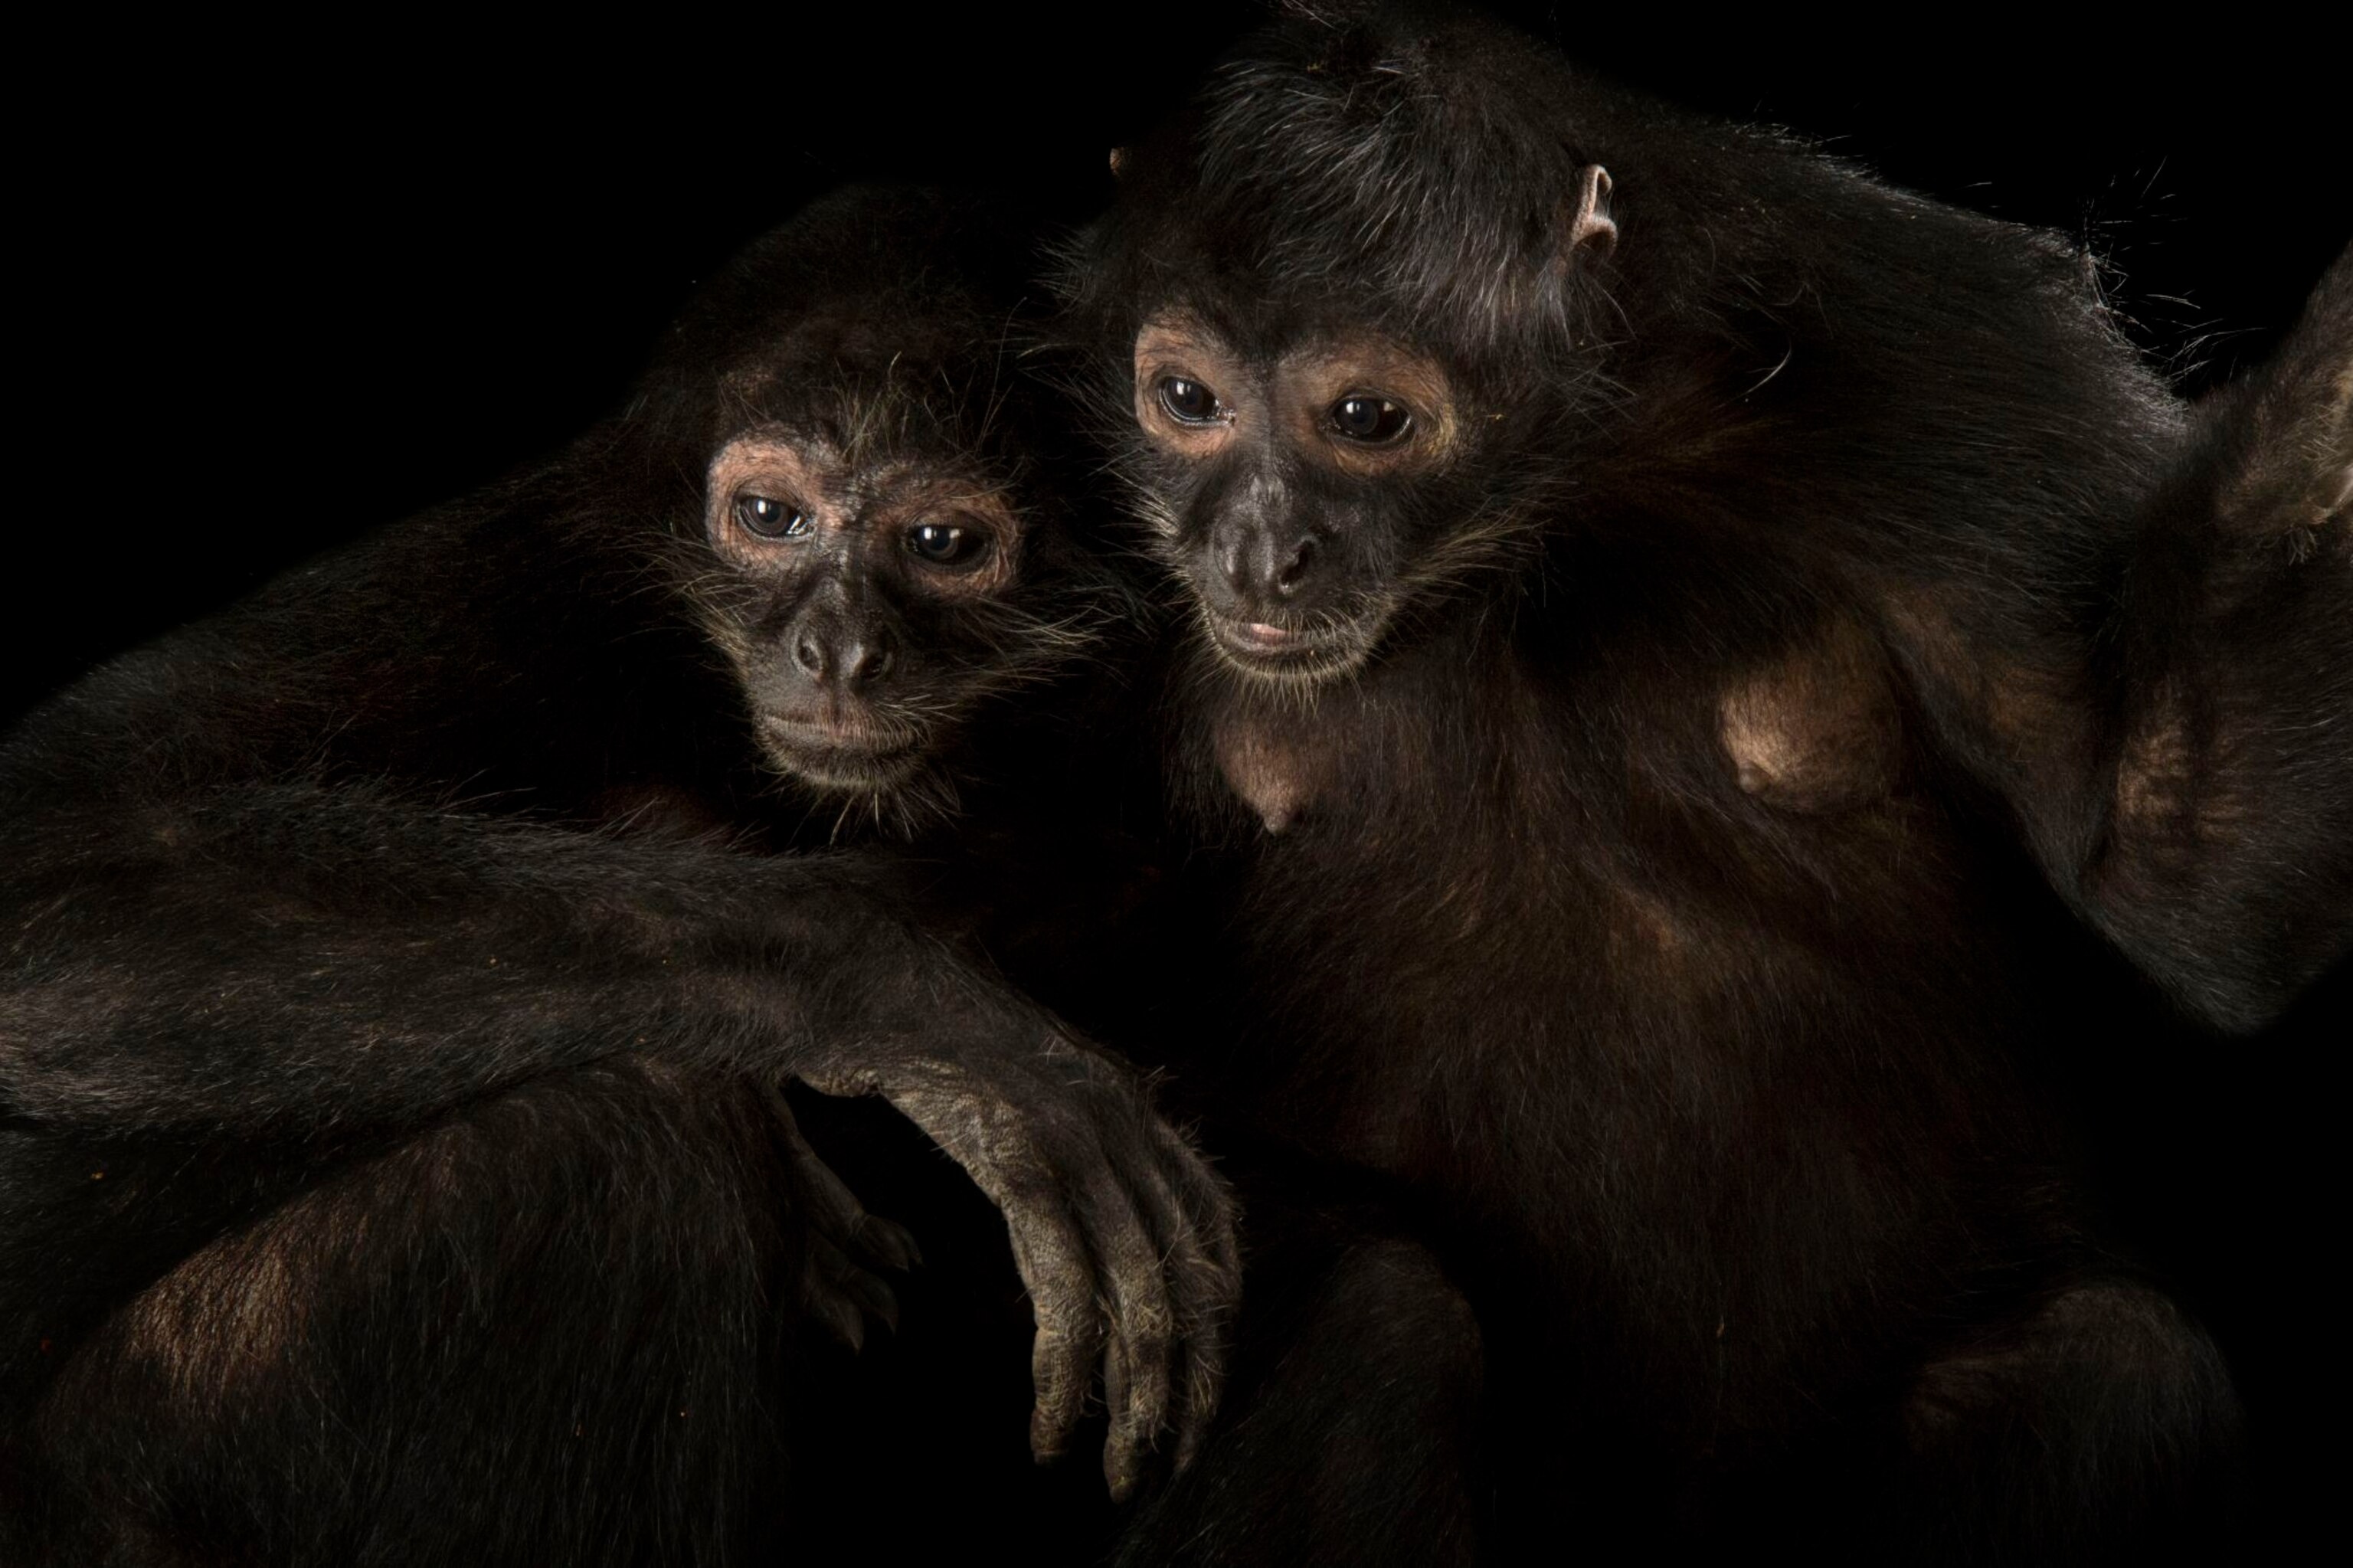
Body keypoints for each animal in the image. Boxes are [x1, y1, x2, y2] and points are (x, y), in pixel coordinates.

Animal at [0, 186, 1238, 1566]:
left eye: (939, 541)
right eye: (771, 519)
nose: (838, 649)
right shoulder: (513, 573)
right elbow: (60, 851)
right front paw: (916, 1006)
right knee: (624, 1144)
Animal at [1063, 7, 2349, 1560]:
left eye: (1365, 416)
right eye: (1185, 401)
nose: (1258, 553)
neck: (1550, 502)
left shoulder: (1967, 366)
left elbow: (2180, 885)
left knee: (2114, 1367)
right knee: (1381, 1310)